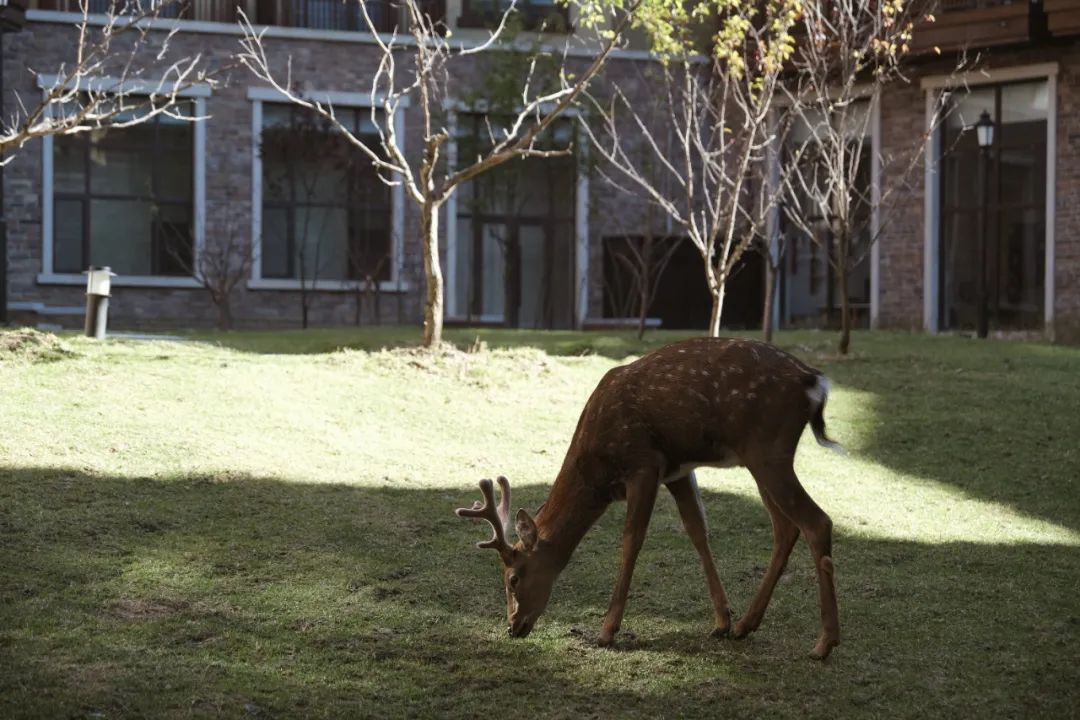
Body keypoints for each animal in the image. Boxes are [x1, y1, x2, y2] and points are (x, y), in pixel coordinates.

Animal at [455, 336, 842, 660]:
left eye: (513, 578)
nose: (513, 626)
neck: (596, 469)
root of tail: (814, 381)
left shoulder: (643, 465)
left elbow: (632, 541)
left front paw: (606, 631)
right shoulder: (678, 471)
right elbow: (697, 531)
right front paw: (721, 621)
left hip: (768, 448)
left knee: (817, 522)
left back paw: (824, 643)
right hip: (760, 458)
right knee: (785, 528)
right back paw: (747, 625)